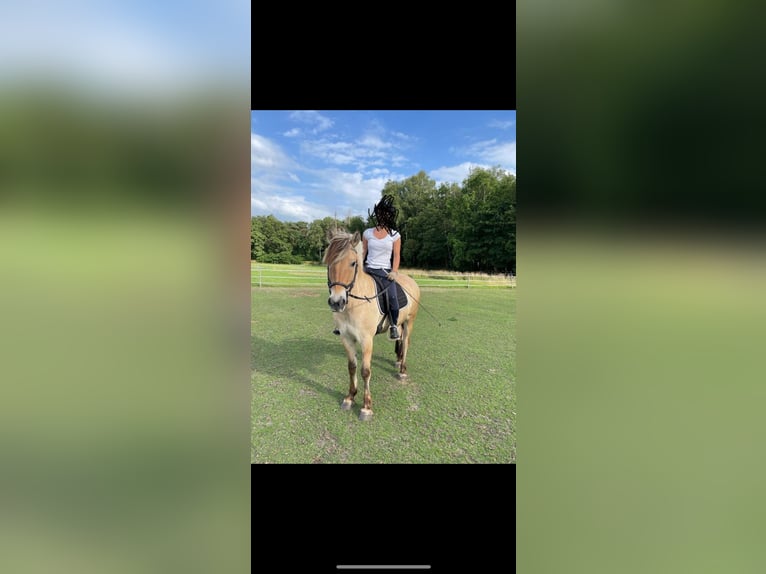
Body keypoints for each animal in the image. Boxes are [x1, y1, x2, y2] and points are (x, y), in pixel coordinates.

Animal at [323, 229, 420, 421]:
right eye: (328, 263)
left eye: (353, 263)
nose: (337, 302)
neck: (354, 304)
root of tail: (411, 281)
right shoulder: (346, 338)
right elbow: (352, 367)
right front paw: (350, 397)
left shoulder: (367, 340)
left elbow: (365, 371)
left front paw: (366, 407)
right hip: (399, 323)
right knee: (399, 339)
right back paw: (398, 361)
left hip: (410, 321)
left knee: (406, 342)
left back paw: (402, 370)